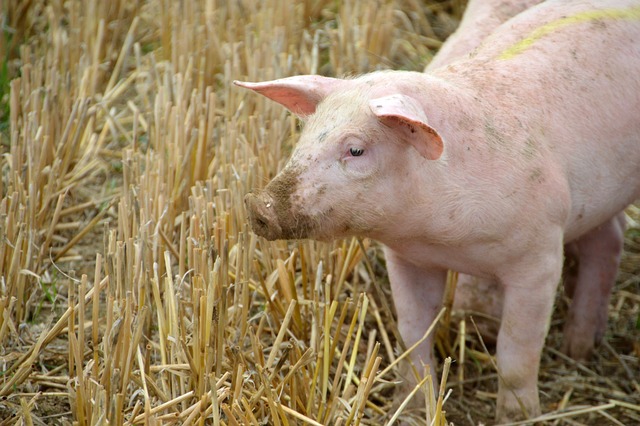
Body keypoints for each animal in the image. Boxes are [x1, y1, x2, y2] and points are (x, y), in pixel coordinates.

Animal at [236, 0, 640, 420]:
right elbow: (412, 336)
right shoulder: (407, 258)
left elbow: (516, 353)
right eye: (304, 137)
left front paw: (518, 417)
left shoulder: (540, 255)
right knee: (607, 239)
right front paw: (412, 409)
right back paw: (573, 346)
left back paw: (574, 349)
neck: (443, 237)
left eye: (356, 149)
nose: (258, 205)